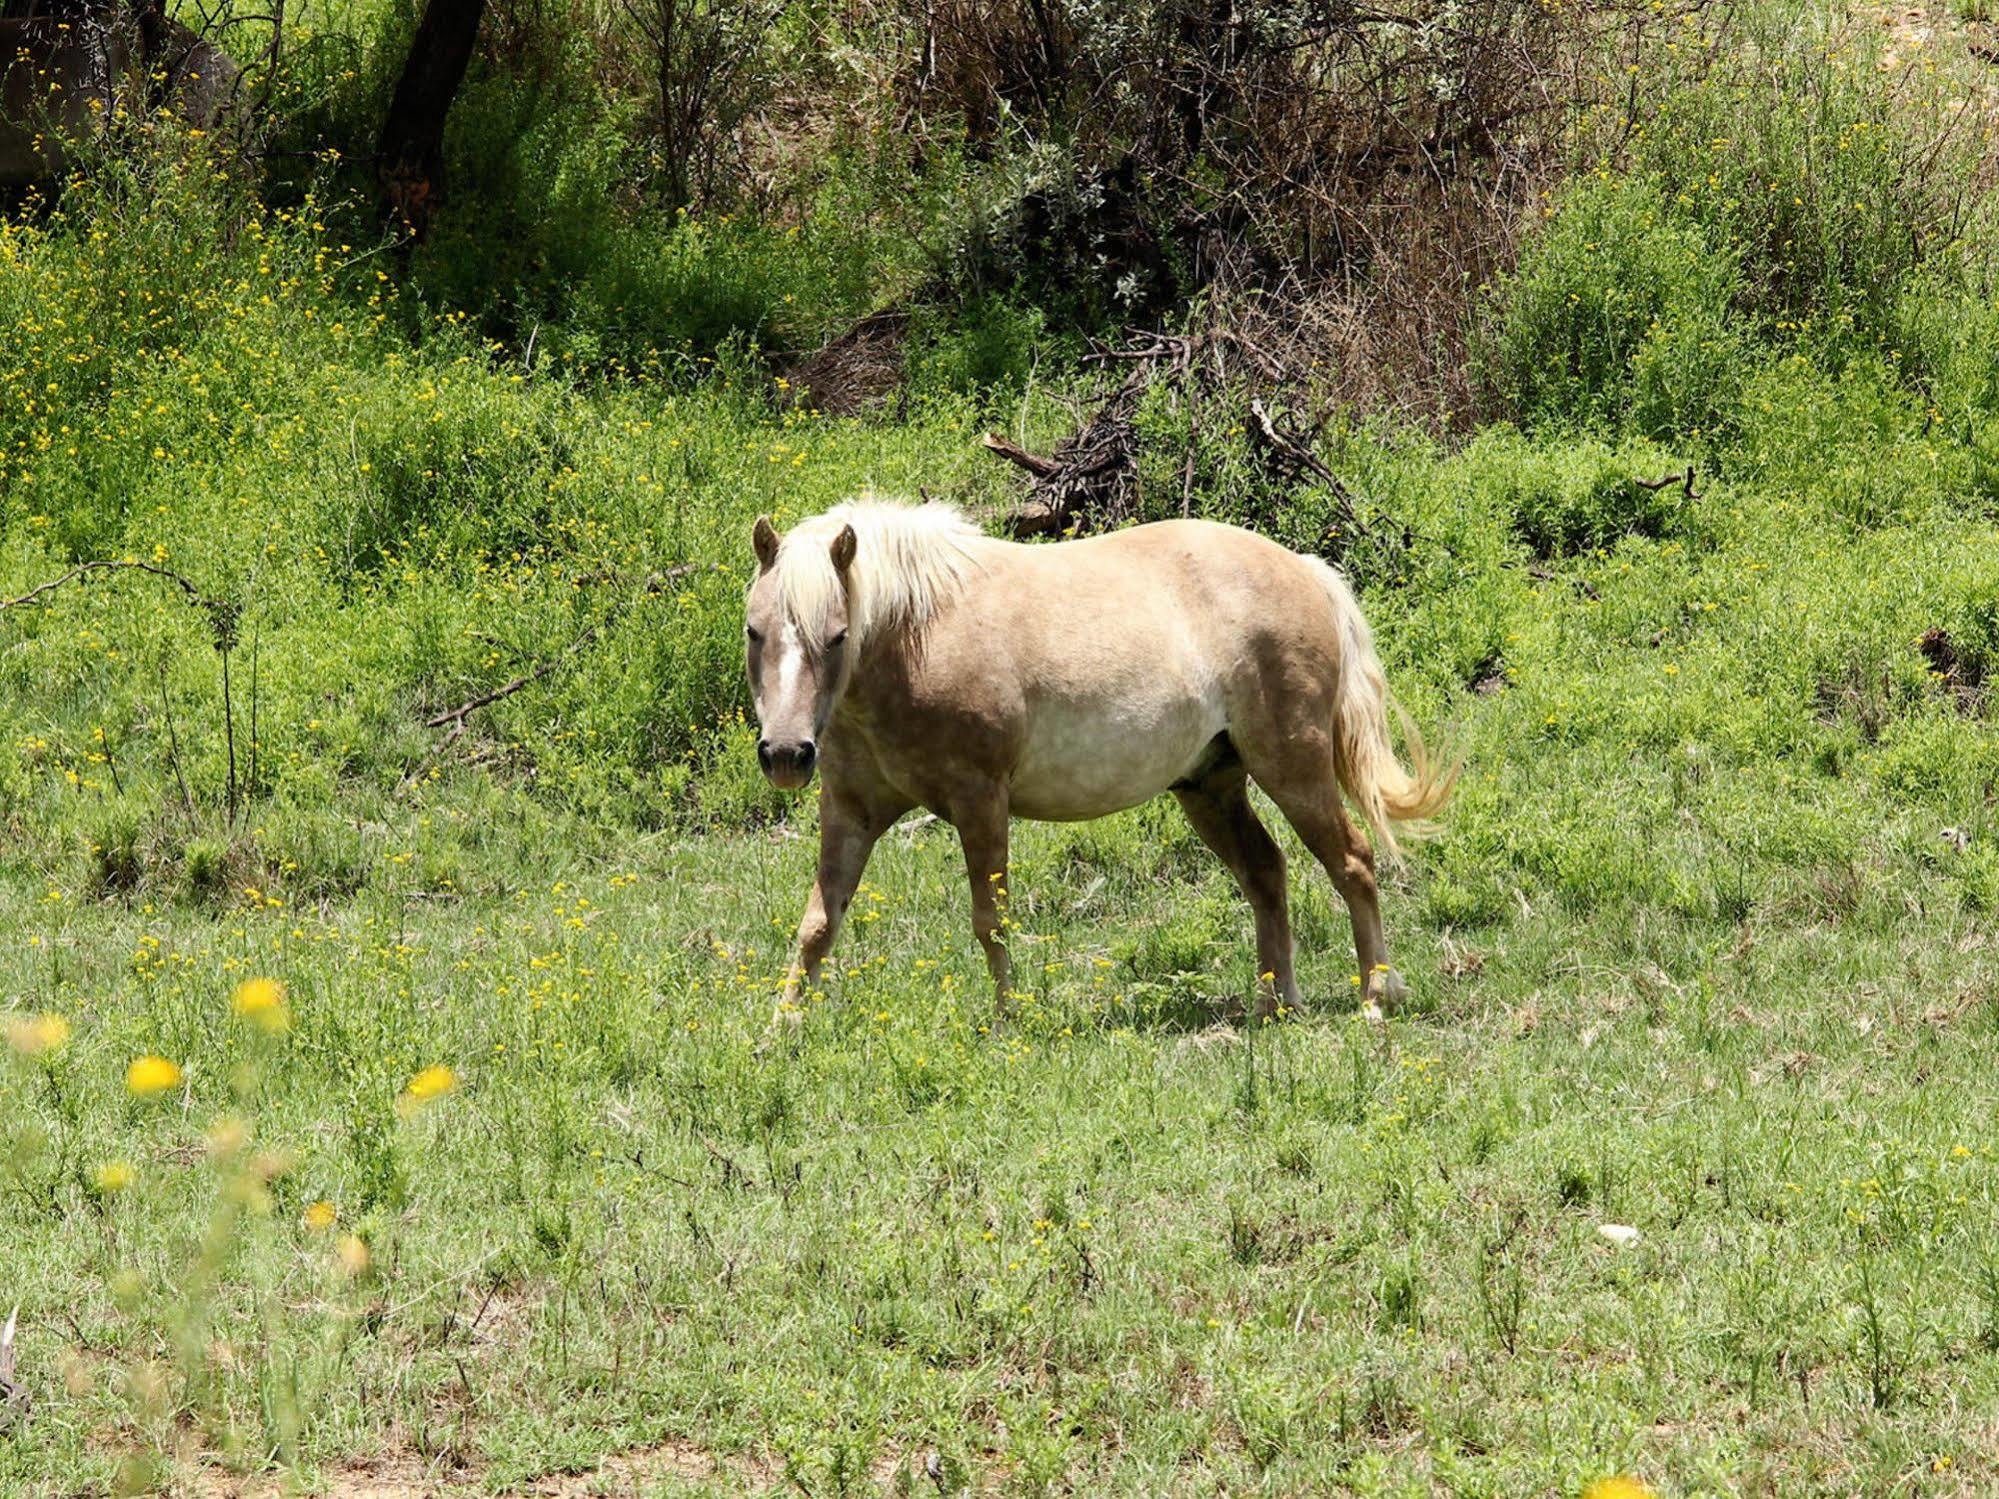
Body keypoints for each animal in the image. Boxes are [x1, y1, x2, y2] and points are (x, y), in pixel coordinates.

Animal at [751, 499, 1455, 1031]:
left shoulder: (981, 803)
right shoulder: (850, 811)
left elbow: (991, 922)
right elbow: (818, 924)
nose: (785, 754)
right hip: (1210, 787)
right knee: (1265, 873)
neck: (919, 635)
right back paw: (1274, 1002)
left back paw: (1375, 996)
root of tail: (1305, 570)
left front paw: (1008, 1023)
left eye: (837, 635)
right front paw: (781, 1030)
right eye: (756, 630)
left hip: (1294, 769)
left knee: (1353, 861)